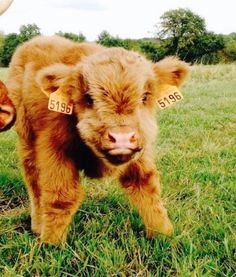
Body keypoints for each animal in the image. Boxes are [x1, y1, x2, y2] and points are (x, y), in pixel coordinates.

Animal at [5, 35, 189, 244]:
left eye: (145, 97)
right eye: (89, 98)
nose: (122, 137)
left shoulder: (141, 153)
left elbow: (147, 187)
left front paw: (164, 236)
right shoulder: (55, 151)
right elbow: (61, 197)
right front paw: (51, 244)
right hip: (26, 137)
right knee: (33, 178)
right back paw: (37, 226)